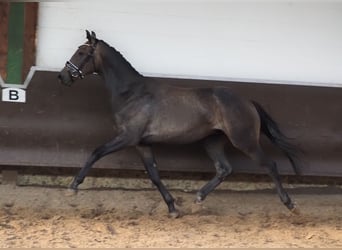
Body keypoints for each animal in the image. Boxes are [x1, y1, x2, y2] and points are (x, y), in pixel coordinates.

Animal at [58, 29, 302, 217]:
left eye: (81, 52)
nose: (63, 77)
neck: (132, 93)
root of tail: (248, 101)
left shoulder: (127, 137)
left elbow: (96, 152)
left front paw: (73, 187)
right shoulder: (142, 144)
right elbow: (154, 175)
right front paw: (173, 208)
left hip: (244, 141)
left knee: (270, 165)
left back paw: (290, 205)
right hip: (212, 142)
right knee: (224, 168)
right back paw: (199, 198)